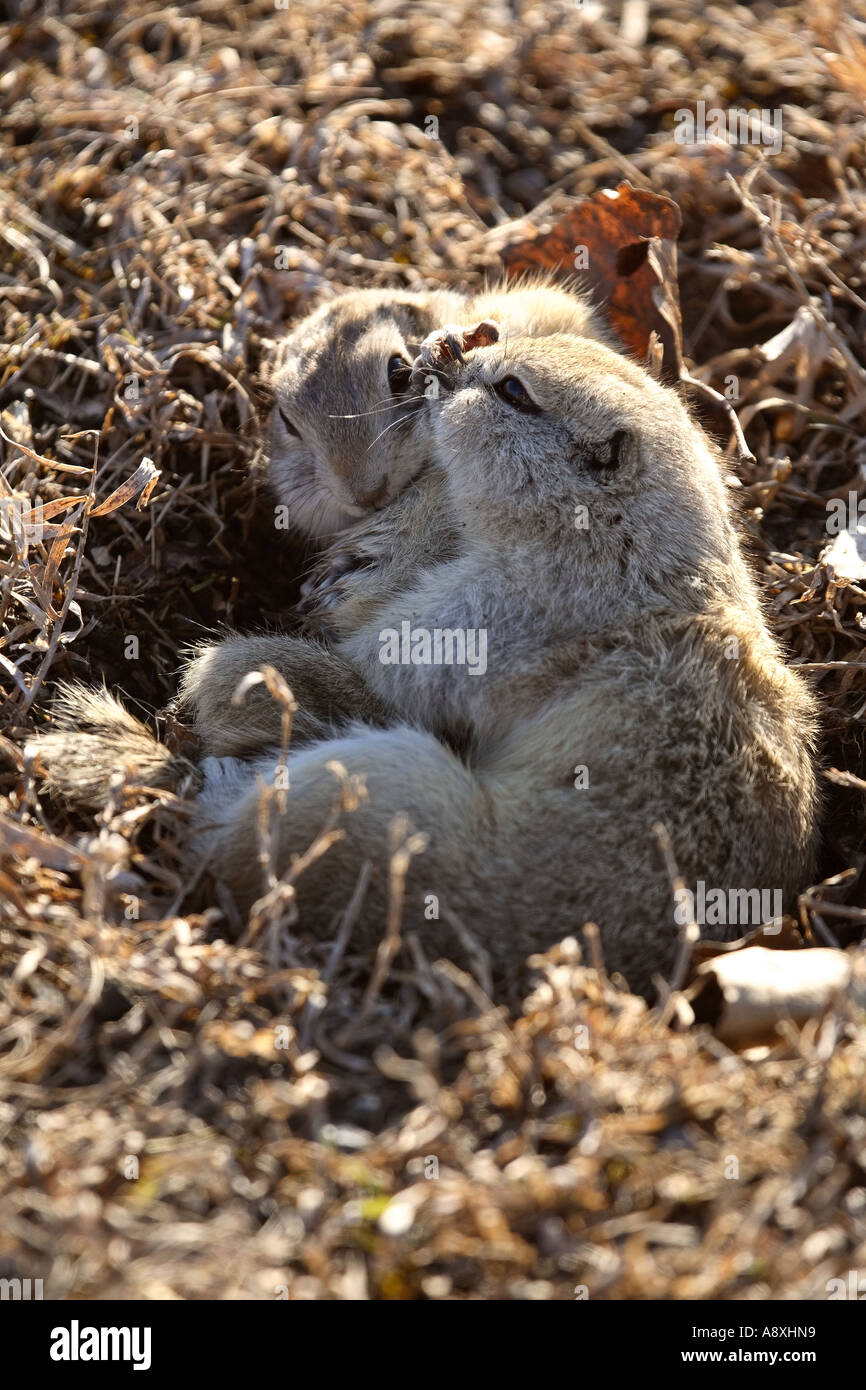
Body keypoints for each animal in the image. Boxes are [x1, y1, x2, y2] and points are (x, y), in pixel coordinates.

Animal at [32, 326, 819, 997]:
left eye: (513, 390)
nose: (443, 353)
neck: (633, 543)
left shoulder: (481, 615)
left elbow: (363, 681)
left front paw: (212, 680)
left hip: (380, 787)